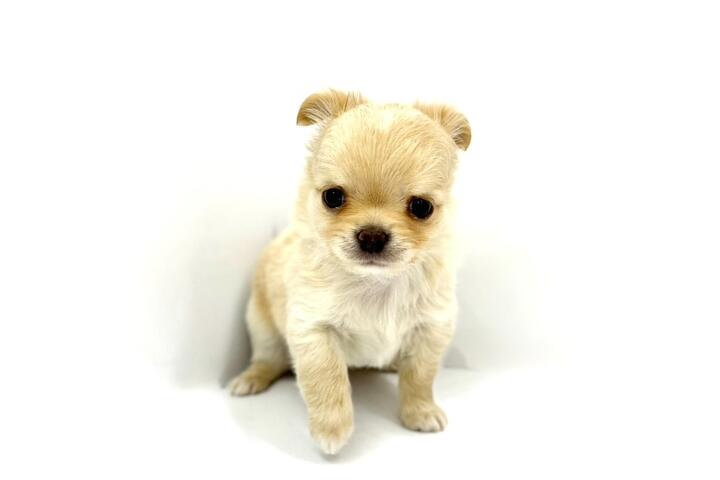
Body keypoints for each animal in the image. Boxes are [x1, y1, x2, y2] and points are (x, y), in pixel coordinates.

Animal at [228, 89, 471, 454]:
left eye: (421, 207)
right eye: (332, 197)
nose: (372, 235)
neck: (375, 282)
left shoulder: (431, 329)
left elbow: (420, 377)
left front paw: (420, 412)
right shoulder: (313, 329)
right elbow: (326, 379)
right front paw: (332, 430)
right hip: (262, 326)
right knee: (268, 358)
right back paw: (251, 379)